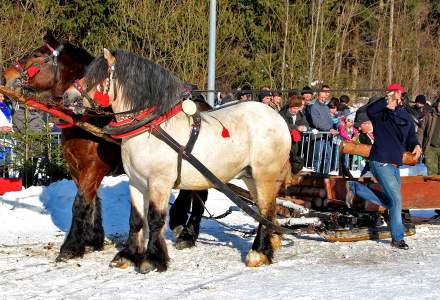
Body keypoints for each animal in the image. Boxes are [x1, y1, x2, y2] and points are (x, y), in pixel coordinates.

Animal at [2, 31, 208, 258]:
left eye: (36, 54)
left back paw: (187, 233)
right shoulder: (77, 168)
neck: (91, 117)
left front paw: (71, 246)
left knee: (200, 193)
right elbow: (92, 202)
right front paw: (92, 240)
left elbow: (80, 204)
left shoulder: (93, 167)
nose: (6, 76)